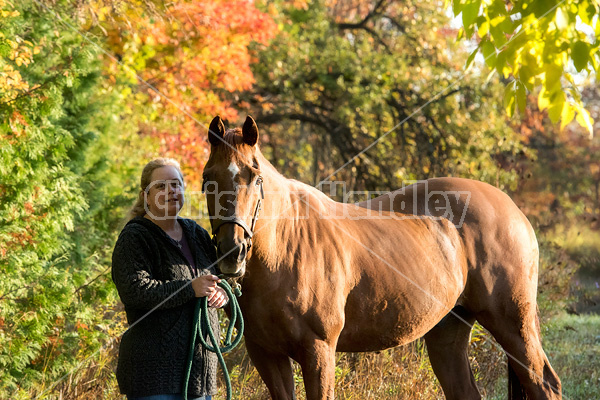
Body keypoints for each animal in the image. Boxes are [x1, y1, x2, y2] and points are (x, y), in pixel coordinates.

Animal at [203, 115, 564, 400]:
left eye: (255, 177)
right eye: (209, 179)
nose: (232, 252)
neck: (286, 248)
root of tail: (512, 208)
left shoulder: (318, 349)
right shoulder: (266, 354)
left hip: (513, 323)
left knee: (545, 384)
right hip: (449, 329)